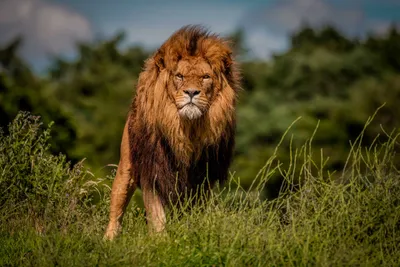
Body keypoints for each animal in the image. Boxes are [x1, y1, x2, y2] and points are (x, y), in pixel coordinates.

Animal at [104, 24, 241, 241]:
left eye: (205, 77)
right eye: (179, 76)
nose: (192, 92)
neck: (186, 130)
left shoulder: (202, 179)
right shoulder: (152, 171)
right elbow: (156, 216)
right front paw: (160, 241)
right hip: (126, 168)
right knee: (116, 208)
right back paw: (108, 240)